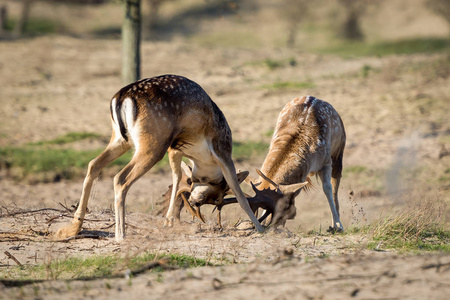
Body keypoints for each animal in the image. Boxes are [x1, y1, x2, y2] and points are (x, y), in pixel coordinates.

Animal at [53, 75, 264, 241]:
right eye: (218, 197)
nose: (196, 202)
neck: (202, 160)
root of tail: (121, 98)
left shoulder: (174, 149)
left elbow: (177, 177)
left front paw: (169, 221)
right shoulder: (222, 151)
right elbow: (240, 193)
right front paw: (261, 228)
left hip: (122, 139)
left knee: (93, 164)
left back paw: (72, 228)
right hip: (153, 144)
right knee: (120, 178)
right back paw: (121, 235)